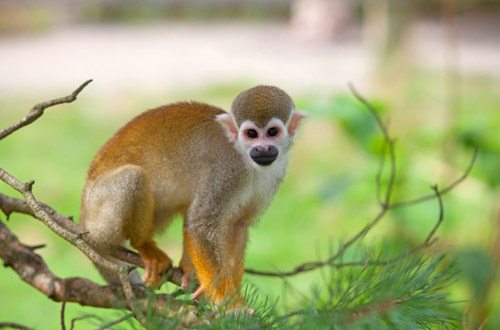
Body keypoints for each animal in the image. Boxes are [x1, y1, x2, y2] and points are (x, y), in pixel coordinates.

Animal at [79, 85, 304, 310]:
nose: (262, 148)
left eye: (272, 132)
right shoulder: (225, 169)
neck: (246, 159)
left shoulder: (275, 174)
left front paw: (232, 293)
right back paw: (144, 245)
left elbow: (238, 224)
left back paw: (189, 269)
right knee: (133, 177)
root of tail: (82, 218)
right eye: (251, 134)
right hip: (99, 217)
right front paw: (231, 304)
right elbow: (201, 225)